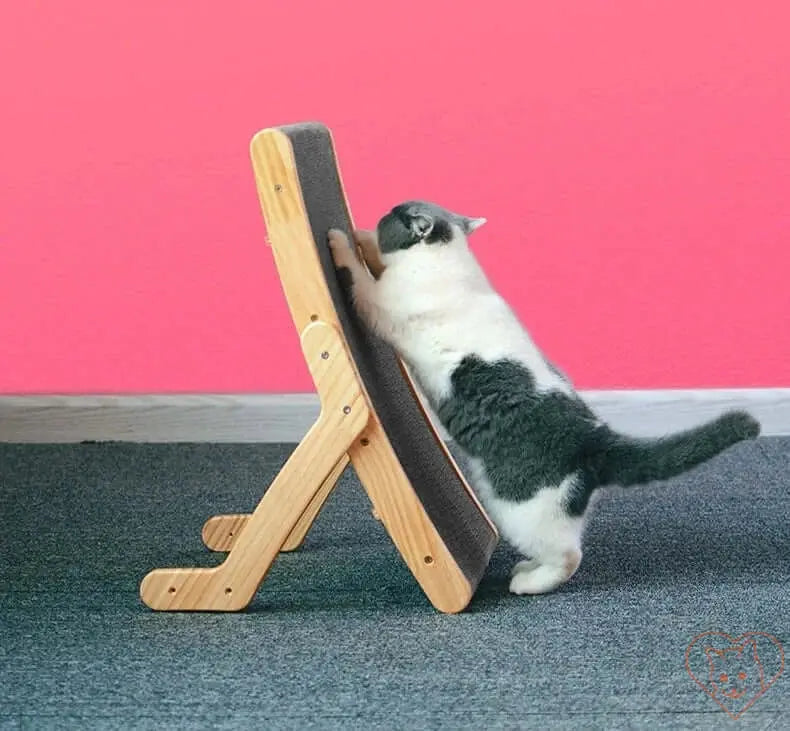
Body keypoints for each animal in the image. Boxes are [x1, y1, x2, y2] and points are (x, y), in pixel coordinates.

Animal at [326, 200, 760, 596]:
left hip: (519, 508)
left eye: (391, 215)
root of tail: (594, 437)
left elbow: (360, 280)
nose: (381, 214)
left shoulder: (381, 307)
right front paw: (360, 237)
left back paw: (529, 582)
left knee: (568, 556)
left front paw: (339, 239)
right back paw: (528, 567)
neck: (446, 262)